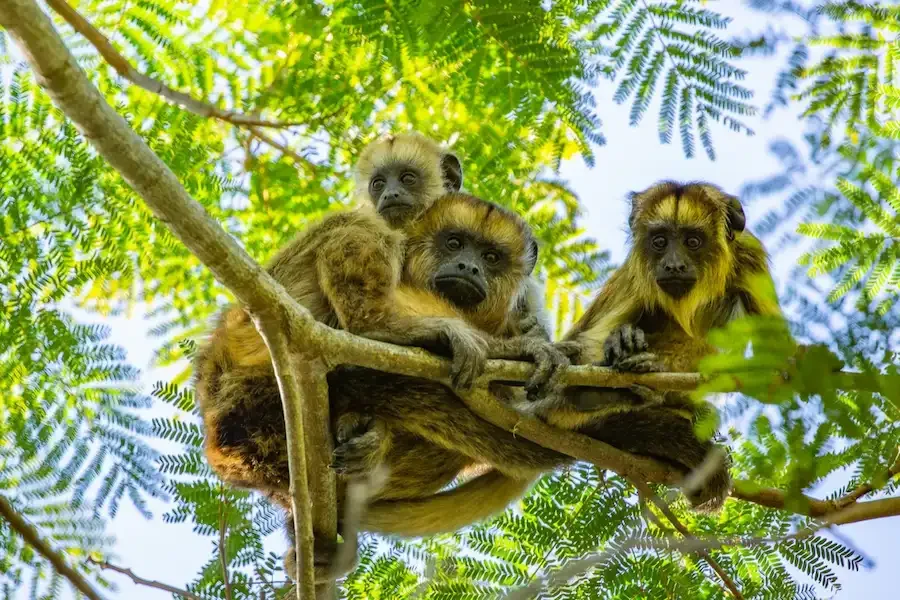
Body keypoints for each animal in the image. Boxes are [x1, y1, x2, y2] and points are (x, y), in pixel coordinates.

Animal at [348, 179, 784, 540]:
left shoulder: (749, 255)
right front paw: (617, 347)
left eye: (692, 242)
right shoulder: (637, 272)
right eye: (660, 241)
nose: (673, 264)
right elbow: (586, 340)